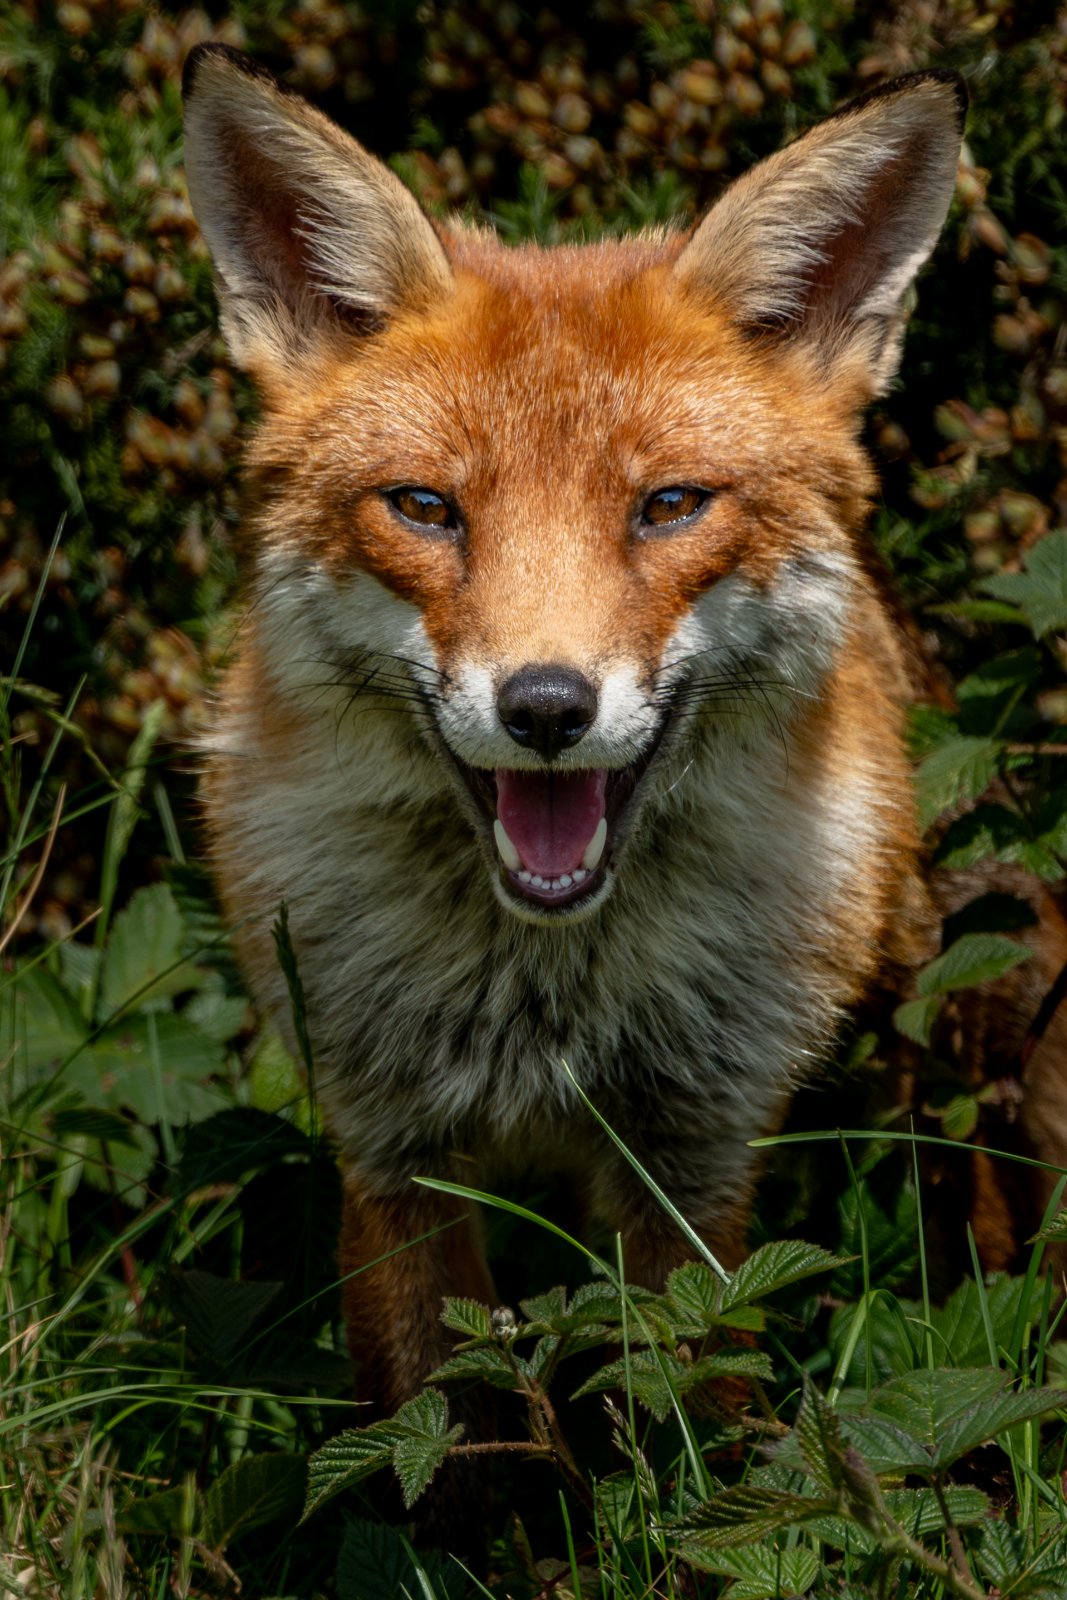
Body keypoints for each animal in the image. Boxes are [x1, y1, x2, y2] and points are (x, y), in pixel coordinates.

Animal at [181, 43, 1067, 1464]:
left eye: (666, 507)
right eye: (425, 508)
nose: (546, 706)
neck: (542, 1002)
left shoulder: (694, 1162)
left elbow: (689, 1414)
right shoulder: (390, 1155)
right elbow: (447, 1437)